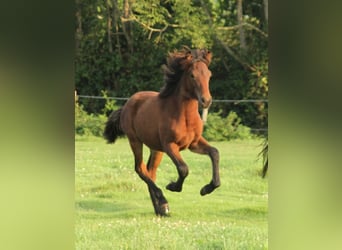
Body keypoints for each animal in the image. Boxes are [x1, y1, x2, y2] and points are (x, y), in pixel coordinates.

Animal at [104, 47, 220, 217]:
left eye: (209, 75)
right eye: (192, 75)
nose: (206, 101)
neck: (184, 116)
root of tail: (127, 104)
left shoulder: (194, 143)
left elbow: (214, 153)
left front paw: (207, 189)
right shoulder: (169, 145)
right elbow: (183, 168)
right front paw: (172, 186)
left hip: (156, 148)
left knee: (150, 171)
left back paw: (161, 209)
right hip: (135, 141)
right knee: (140, 169)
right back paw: (163, 201)